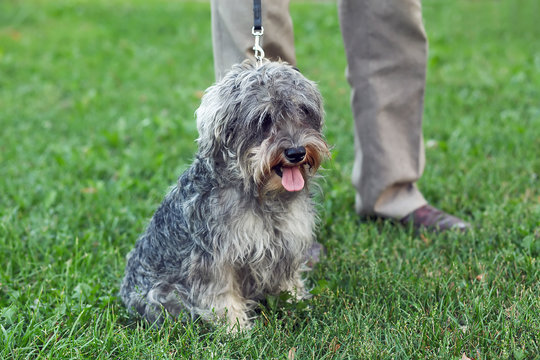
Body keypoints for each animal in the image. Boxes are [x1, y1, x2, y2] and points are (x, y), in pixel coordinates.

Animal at [121, 59, 332, 332]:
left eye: (304, 111)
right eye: (264, 119)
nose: (296, 152)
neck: (262, 193)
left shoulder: (287, 243)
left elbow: (288, 281)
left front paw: (297, 302)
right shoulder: (214, 259)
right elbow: (221, 296)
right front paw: (236, 328)